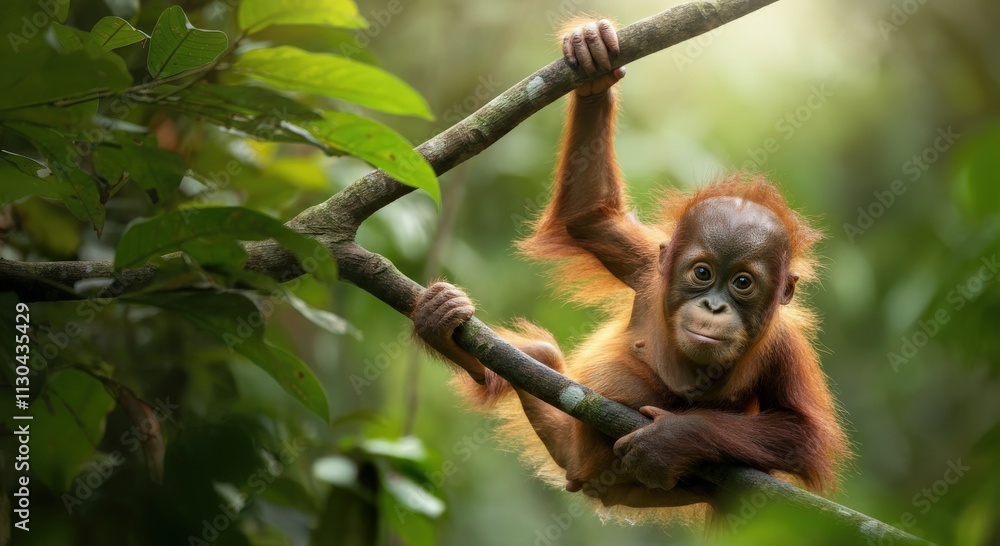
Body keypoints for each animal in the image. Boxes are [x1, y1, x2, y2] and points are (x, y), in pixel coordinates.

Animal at [412, 18, 849, 516]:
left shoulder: (787, 344)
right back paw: (447, 332)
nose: (714, 307)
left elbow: (805, 434)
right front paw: (594, 65)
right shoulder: (647, 266)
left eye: (743, 283)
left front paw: (670, 440)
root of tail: (583, 479)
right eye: (702, 273)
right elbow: (588, 218)